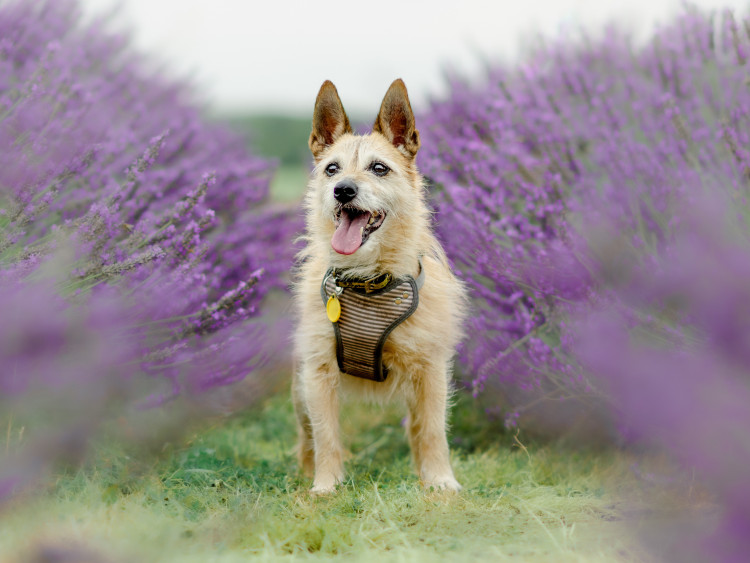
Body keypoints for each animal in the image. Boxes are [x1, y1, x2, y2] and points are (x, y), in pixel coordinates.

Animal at [292, 78, 464, 494]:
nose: (343, 190)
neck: (367, 279)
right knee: (306, 435)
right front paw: (325, 486)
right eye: (331, 169)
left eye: (379, 168)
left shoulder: (431, 370)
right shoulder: (317, 372)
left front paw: (441, 482)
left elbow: (432, 431)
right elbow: (325, 436)